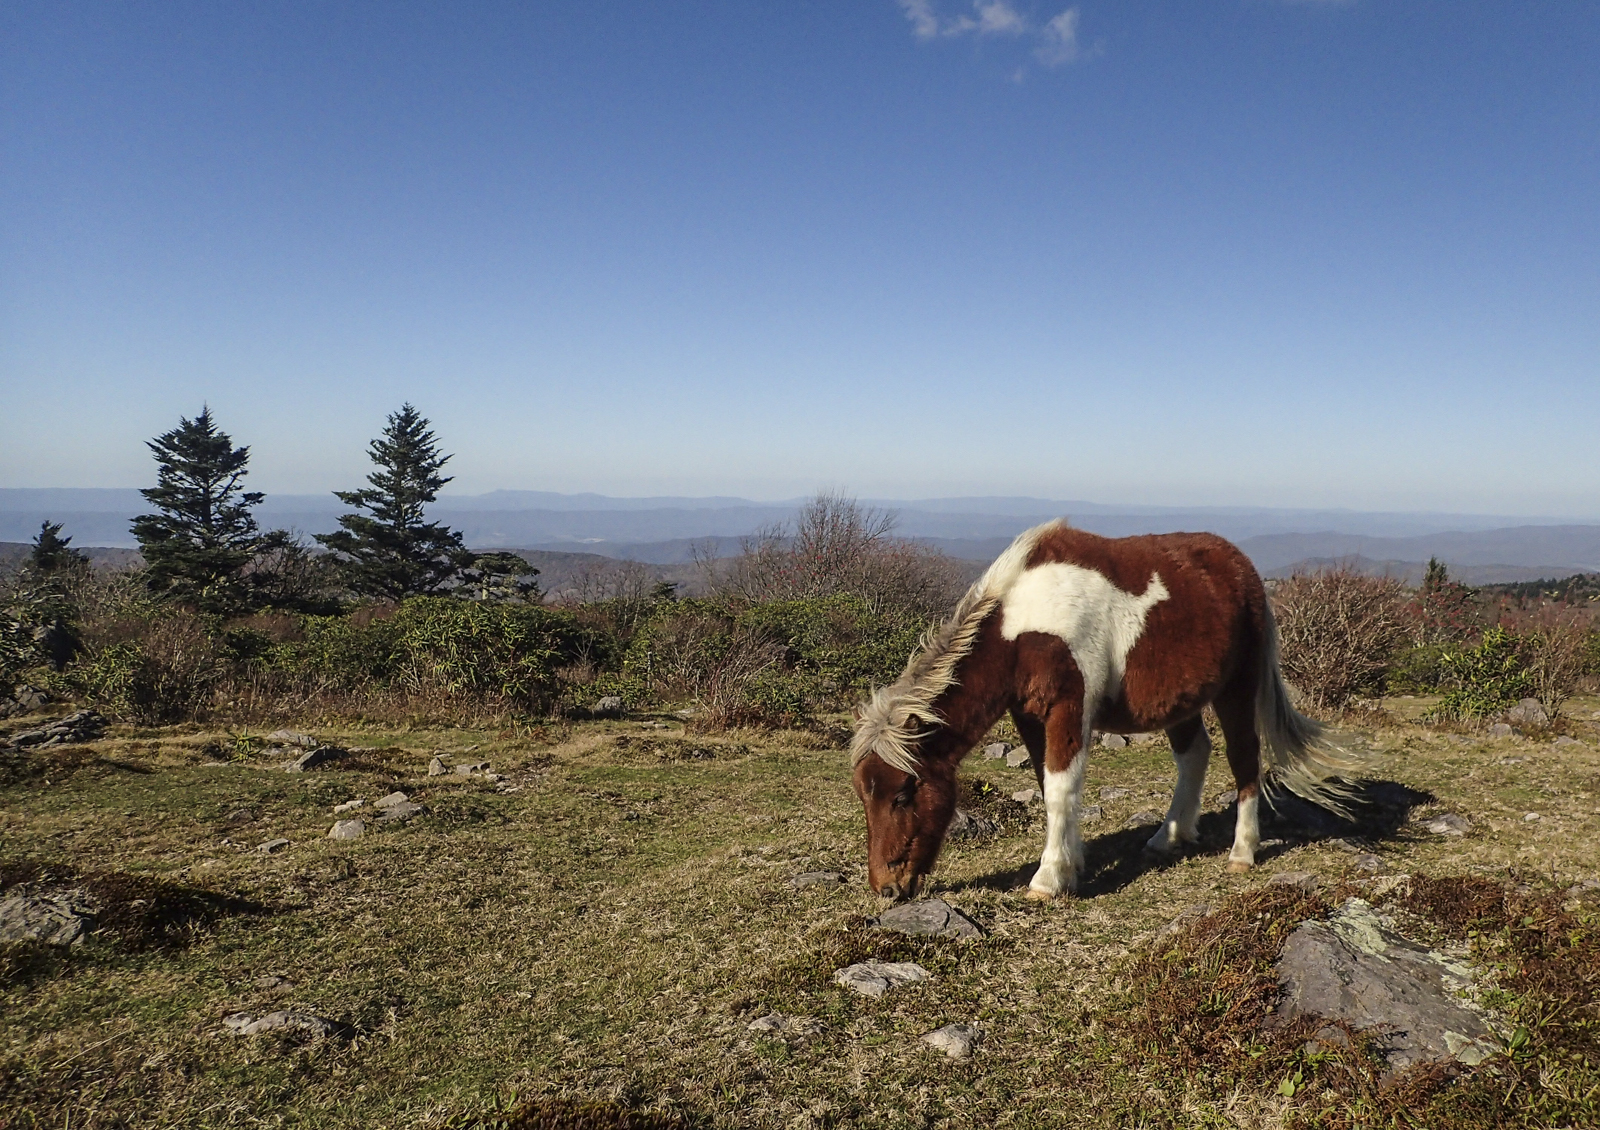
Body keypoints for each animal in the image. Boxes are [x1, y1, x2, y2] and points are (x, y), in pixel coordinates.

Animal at [850, 520, 1362, 902]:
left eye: (903, 794)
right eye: (865, 796)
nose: (886, 888)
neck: (1022, 627)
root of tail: (1242, 568)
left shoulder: (1069, 708)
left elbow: (1061, 788)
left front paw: (1047, 880)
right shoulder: (1029, 716)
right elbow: (1049, 785)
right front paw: (1072, 864)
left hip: (1237, 689)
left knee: (1244, 759)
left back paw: (1242, 852)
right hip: (1182, 701)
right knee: (1195, 753)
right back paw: (1169, 837)